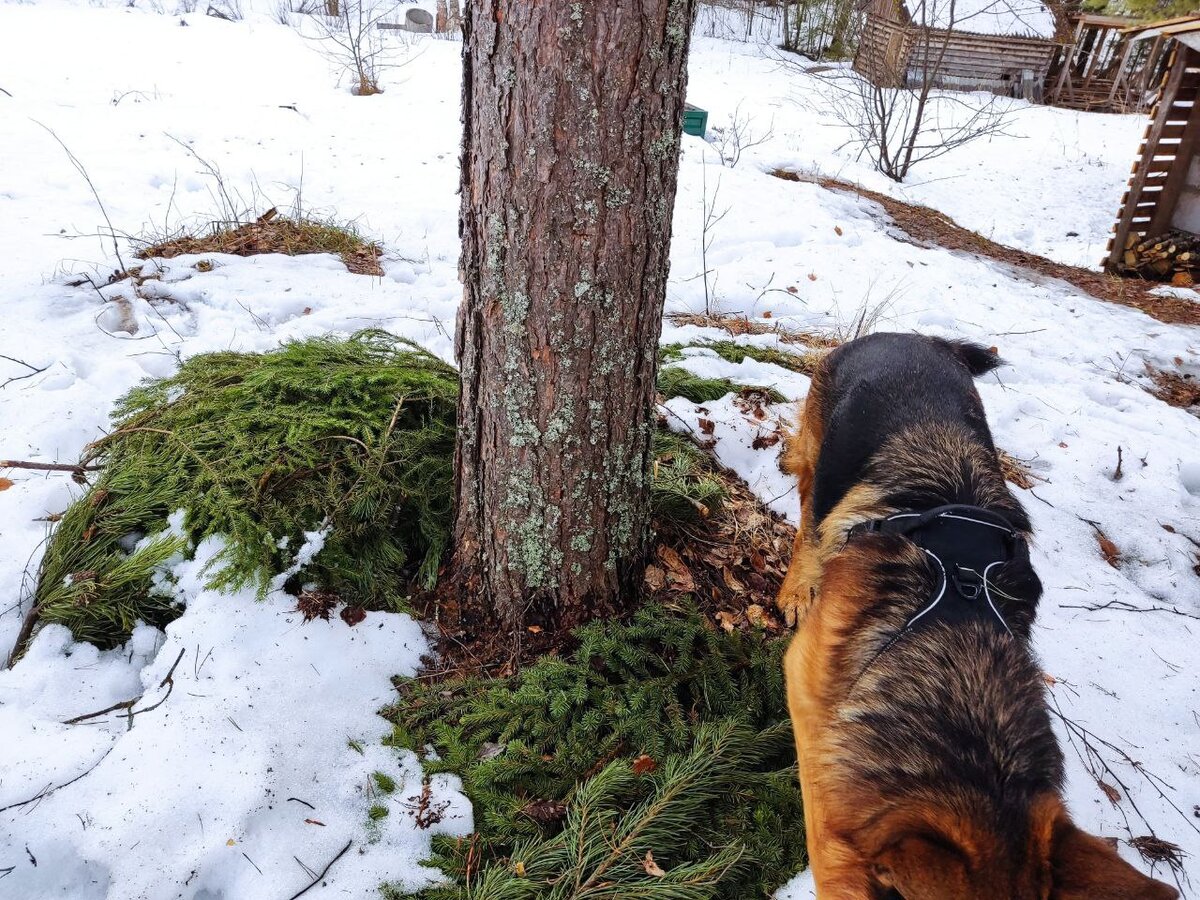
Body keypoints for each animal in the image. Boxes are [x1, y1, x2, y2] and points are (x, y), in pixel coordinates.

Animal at [772, 333, 1176, 900]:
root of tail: (908, 336)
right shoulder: (807, 685)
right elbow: (828, 822)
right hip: (818, 457)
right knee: (809, 516)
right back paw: (798, 583)